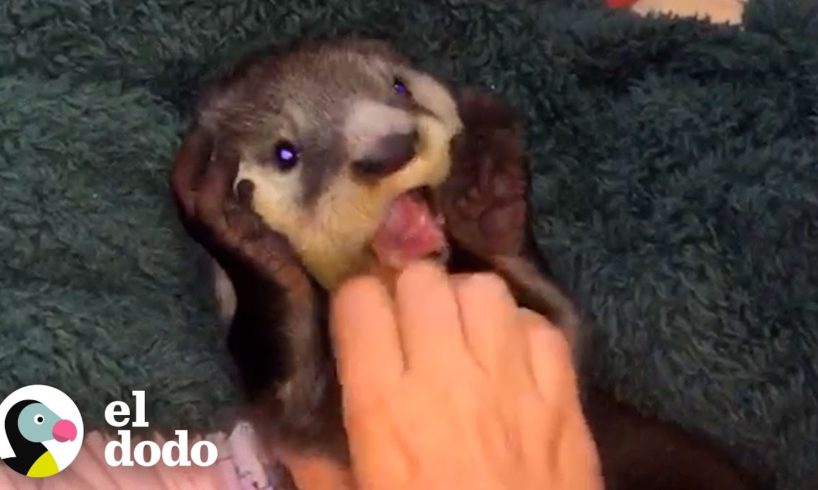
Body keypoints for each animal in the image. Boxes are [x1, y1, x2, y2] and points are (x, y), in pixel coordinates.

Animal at [169, 36, 760, 488]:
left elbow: (556, 313)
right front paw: (239, 230)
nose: (390, 148)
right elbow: (286, 377)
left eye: (399, 87)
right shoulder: (298, 423)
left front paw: (487, 182)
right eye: (285, 153)